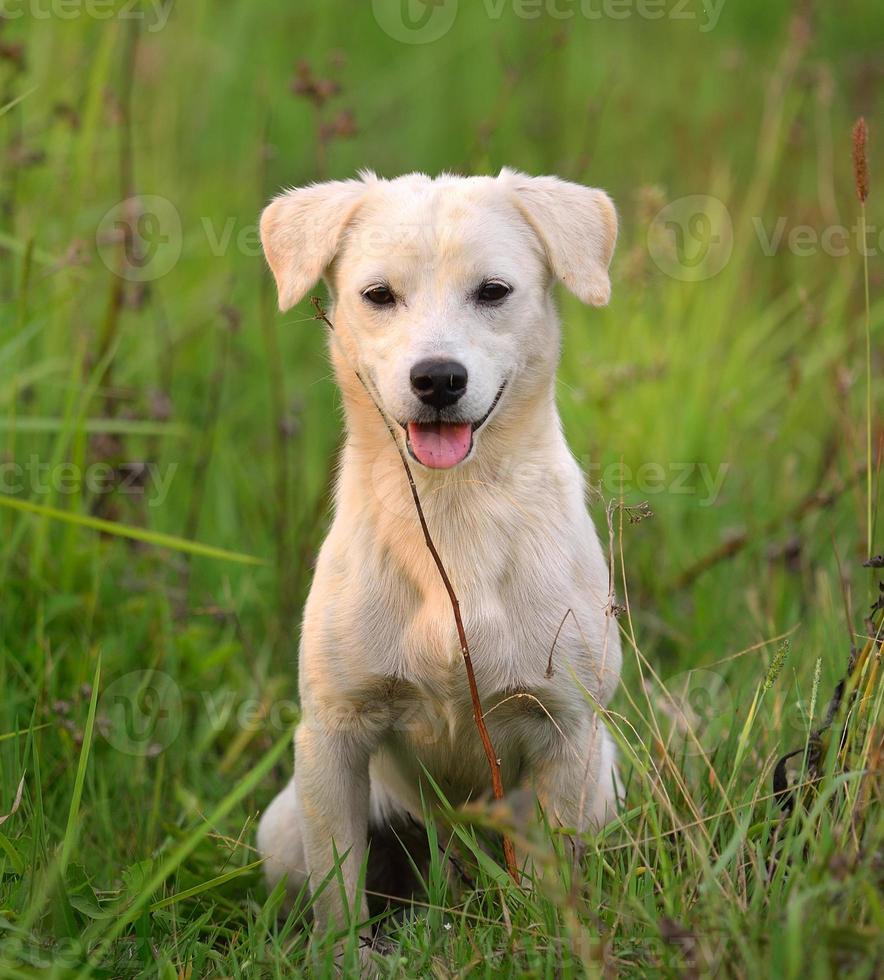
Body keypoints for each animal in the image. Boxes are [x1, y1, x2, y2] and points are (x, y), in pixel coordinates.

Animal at [256, 168, 620, 936]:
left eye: (493, 290)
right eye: (378, 295)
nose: (439, 378)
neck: (456, 518)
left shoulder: (568, 734)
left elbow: (554, 884)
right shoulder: (331, 737)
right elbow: (338, 897)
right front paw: (343, 955)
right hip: (285, 828)